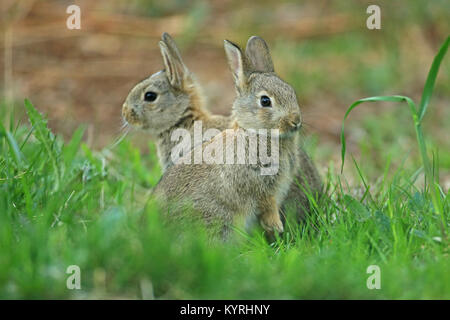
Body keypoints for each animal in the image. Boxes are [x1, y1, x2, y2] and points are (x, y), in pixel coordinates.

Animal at [153, 35, 304, 240]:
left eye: (291, 92)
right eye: (265, 101)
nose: (296, 121)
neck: (255, 133)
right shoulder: (258, 185)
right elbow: (267, 204)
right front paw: (277, 226)